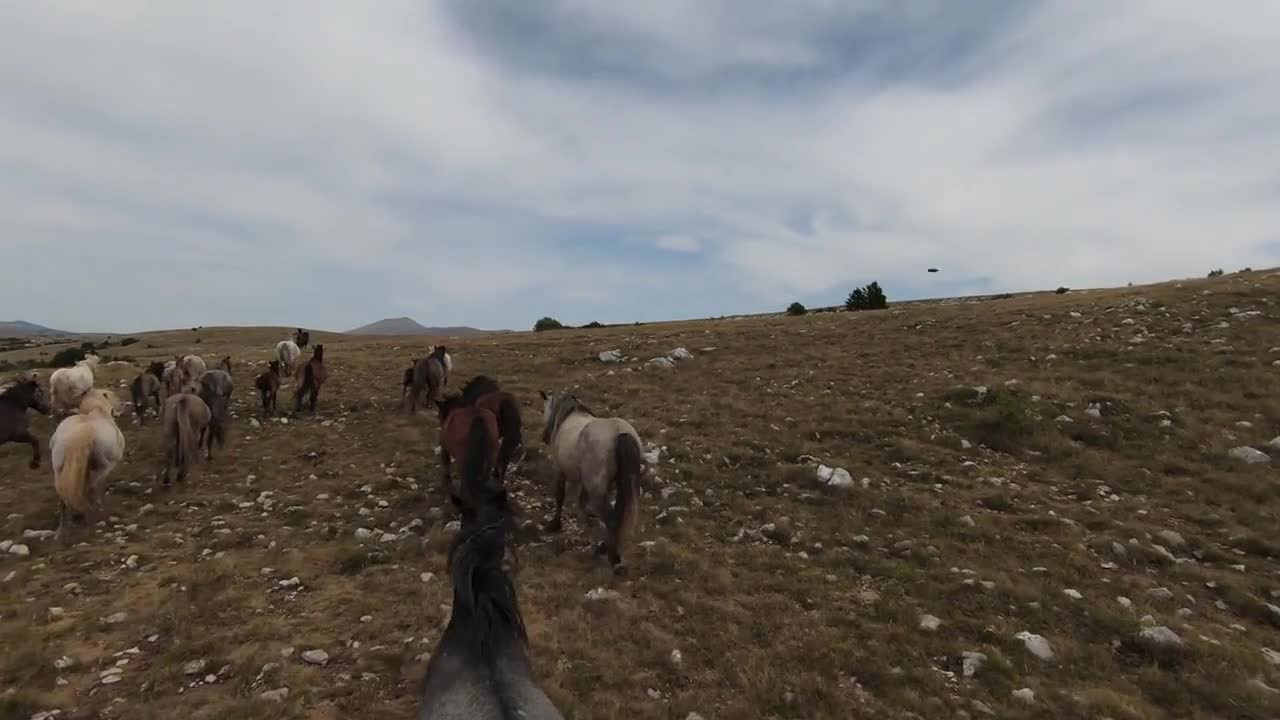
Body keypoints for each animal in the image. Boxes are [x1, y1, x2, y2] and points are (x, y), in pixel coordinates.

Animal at [50, 386, 124, 532]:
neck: (97, 412)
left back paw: (64, 527)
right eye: (112, 395)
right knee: (92, 487)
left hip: (58, 469)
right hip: (104, 466)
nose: (120, 408)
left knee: (63, 495)